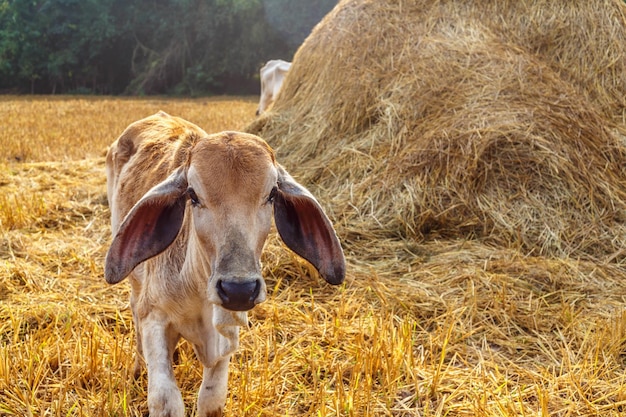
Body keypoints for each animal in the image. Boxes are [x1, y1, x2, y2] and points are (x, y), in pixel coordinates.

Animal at [104, 111, 344, 416]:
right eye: (192, 194)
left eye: (272, 194)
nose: (238, 289)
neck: (196, 289)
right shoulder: (154, 316)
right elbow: (166, 399)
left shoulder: (227, 330)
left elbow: (212, 400)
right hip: (135, 280)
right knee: (134, 307)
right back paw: (138, 367)